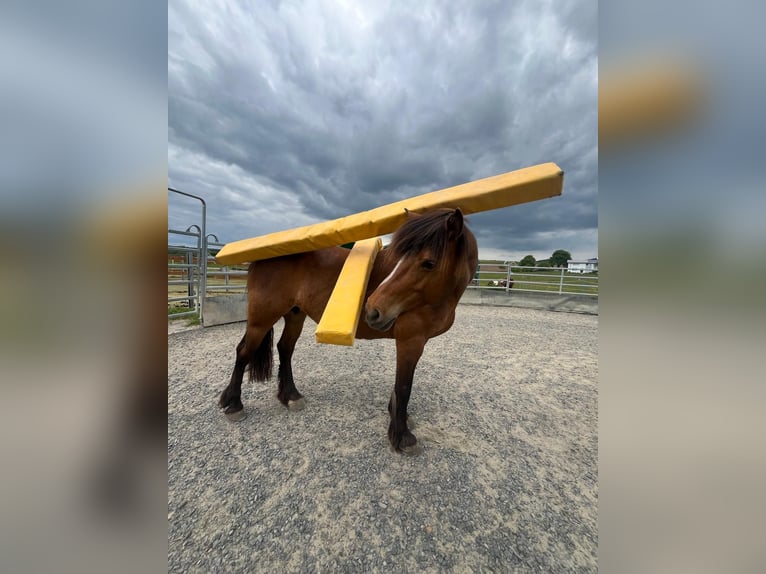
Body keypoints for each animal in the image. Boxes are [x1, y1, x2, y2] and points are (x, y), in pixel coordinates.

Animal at [218, 208, 479, 453]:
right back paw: (234, 405)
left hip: (294, 315)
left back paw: (290, 396)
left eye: (428, 263)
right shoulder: (410, 340)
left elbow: (399, 386)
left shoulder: (415, 342)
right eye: (399, 258)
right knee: (244, 352)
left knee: (285, 349)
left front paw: (399, 417)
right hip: (261, 320)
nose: (372, 309)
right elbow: (404, 386)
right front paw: (403, 437)